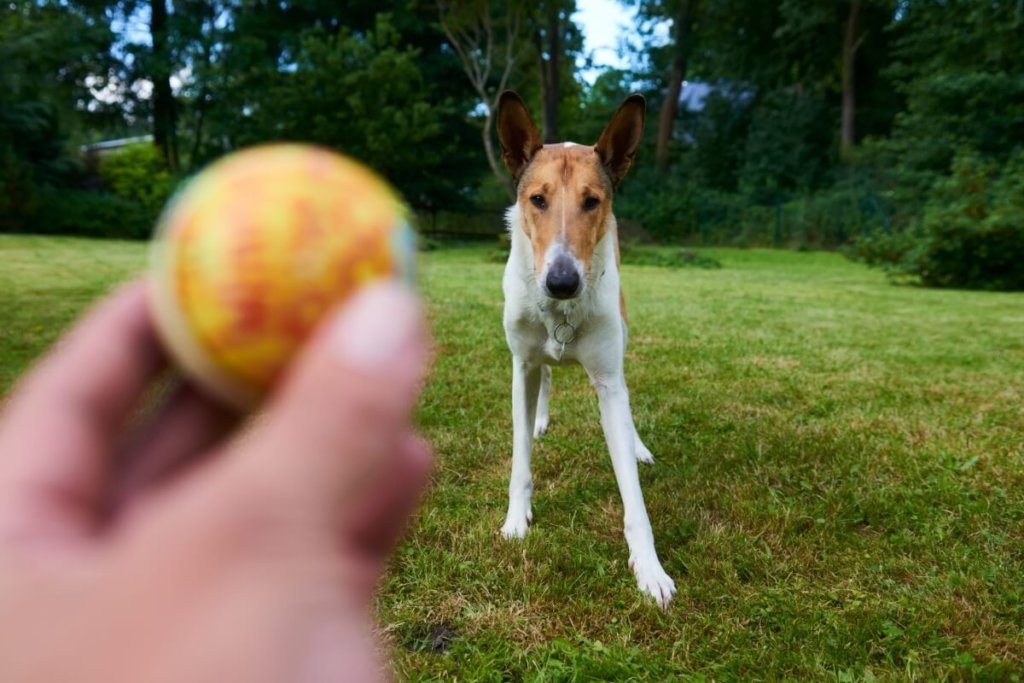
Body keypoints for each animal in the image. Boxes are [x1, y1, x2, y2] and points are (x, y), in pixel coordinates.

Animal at [497, 90, 679, 610]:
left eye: (592, 201)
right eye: (537, 199)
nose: (562, 282)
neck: (561, 313)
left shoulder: (607, 380)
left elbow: (633, 495)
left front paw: (650, 569)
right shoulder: (521, 364)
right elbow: (519, 459)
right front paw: (516, 521)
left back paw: (638, 446)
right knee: (547, 375)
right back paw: (540, 419)